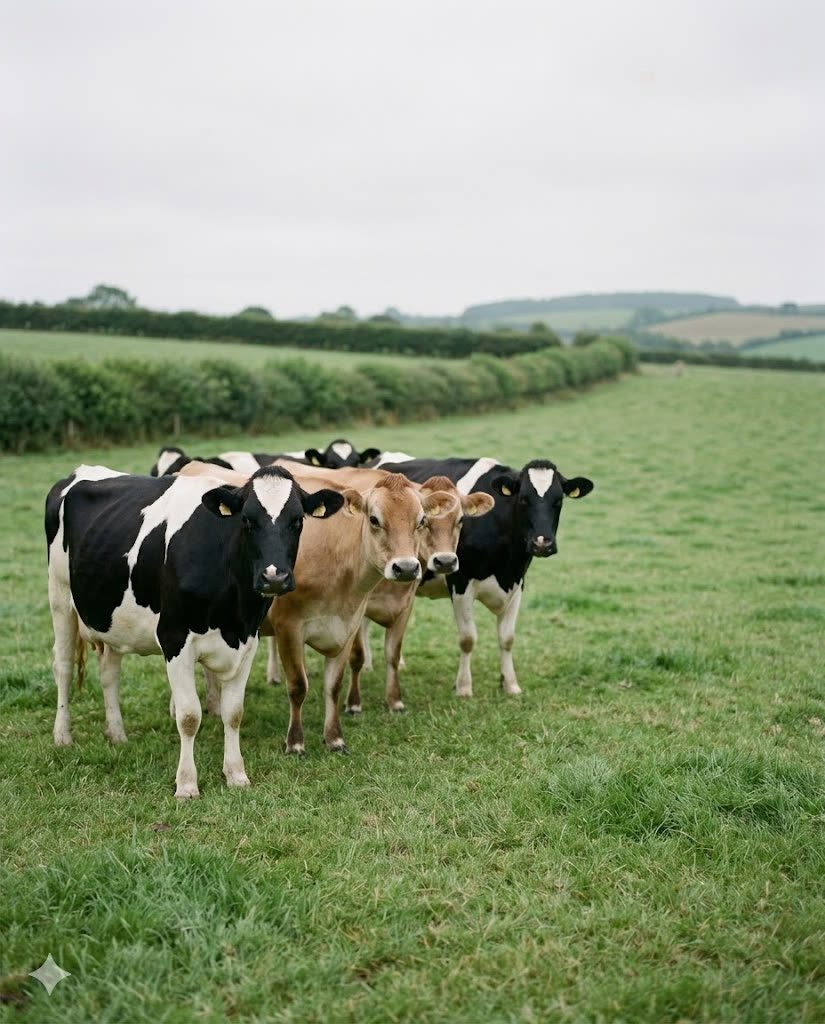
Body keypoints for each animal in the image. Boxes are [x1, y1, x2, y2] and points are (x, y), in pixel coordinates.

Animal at [45, 463, 344, 798]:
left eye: (297, 521)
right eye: (247, 520)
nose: (274, 577)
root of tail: (82, 470)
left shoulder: (247, 642)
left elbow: (234, 713)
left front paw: (236, 774)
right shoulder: (174, 640)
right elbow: (189, 716)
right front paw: (187, 784)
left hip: (111, 616)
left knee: (109, 672)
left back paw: (117, 734)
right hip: (60, 595)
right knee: (63, 666)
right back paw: (63, 736)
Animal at [376, 456, 594, 697]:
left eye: (558, 501)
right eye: (524, 499)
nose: (542, 543)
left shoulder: (518, 583)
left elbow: (507, 638)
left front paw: (510, 684)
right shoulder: (460, 583)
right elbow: (467, 639)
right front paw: (463, 687)